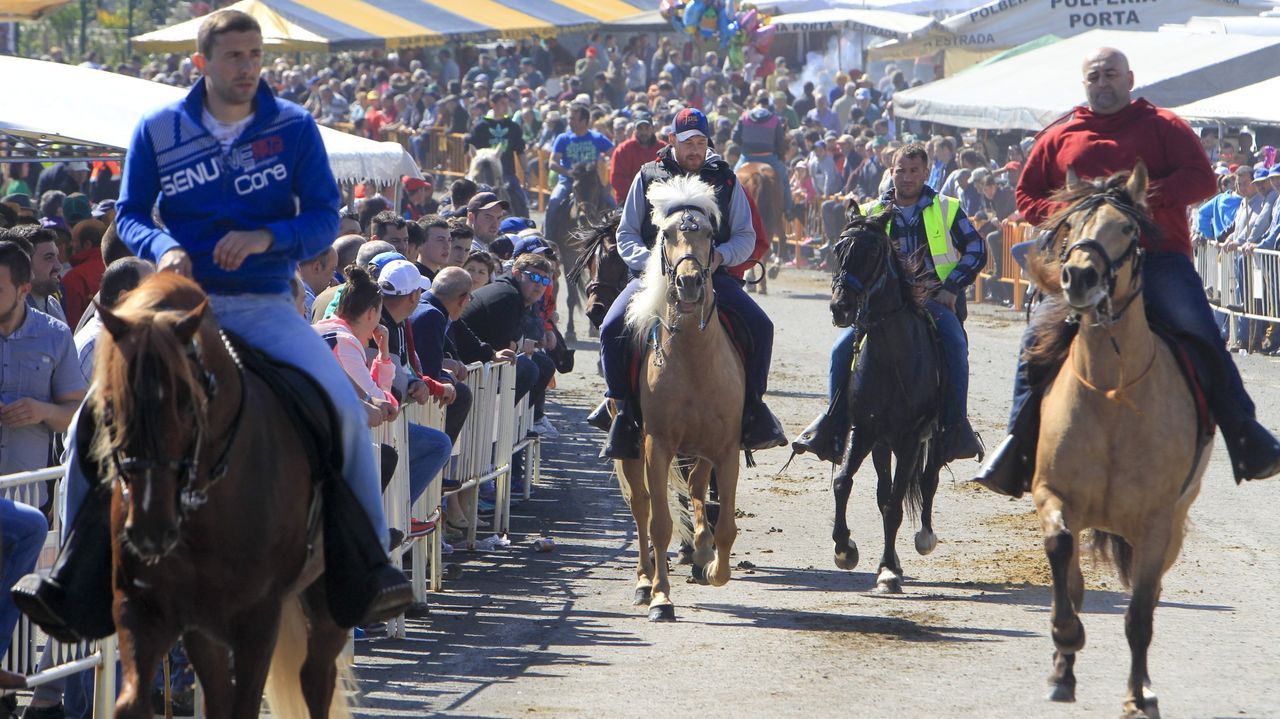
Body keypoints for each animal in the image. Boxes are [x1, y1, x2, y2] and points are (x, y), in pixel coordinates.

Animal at [90, 271, 353, 711]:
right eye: (111, 404)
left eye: (186, 402)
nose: (150, 529)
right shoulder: (150, 610)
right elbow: (133, 700)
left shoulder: (257, 619)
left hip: (323, 600)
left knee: (317, 678)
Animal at [616, 173, 747, 621]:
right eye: (668, 234)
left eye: (707, 233)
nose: (688, 283)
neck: (692, 357)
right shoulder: (656, 445)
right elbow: (659, 523)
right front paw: (661, 598)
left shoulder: (725, 447)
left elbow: (725, 526)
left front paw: (711, 567)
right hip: (631, 448)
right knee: (641, 508)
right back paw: (642, 582)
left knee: (694, 487)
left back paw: (700, 553)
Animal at [824, 209, 947, 591]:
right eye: (838, 249)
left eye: (873, 252)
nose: (840, 307)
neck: (893, 359)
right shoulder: (864, 430)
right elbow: (844, 483)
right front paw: (844, 548)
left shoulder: (910, 437)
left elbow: (895, 505)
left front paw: (888, 570)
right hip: (882, 445)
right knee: (884, 490)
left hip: (929, 439)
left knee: (928, 480)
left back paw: (925, 536)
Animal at [1018, 162, 1208, 716]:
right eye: (1071, 225)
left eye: (1126, 229)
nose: (1079, 276)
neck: (1111, 393)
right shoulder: (1053, 494)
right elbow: (1063, 556)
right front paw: (1064, 649)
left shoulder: (1156, 524)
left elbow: (1140, 614)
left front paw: (1137, 695)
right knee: (1076, 579)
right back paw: (1064, 666)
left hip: (1172, 530)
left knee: (1151, 596)